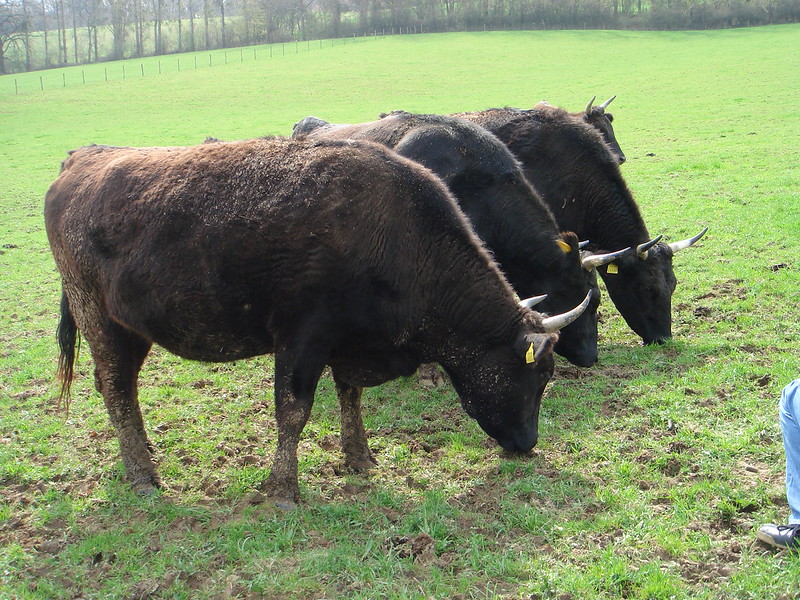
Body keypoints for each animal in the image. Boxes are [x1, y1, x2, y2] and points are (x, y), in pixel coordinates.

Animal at [48, 137, 588, 506]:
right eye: (541, 374)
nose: (528, 443)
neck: (397, 232)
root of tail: (82, 159)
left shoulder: (348, 344)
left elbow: (351, 396)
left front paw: (360, 458)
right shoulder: (301, 339)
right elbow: (294, 411)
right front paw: (283, 490)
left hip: (130, 329)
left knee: (122, 389)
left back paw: (144, 456)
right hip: (98, 318)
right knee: (115, 386)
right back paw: (142, 475)